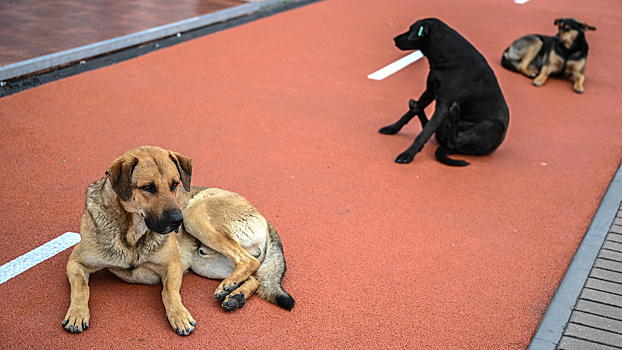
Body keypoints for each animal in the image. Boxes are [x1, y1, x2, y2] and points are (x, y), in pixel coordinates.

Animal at [63, 146, 294, 336]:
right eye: (148, 187)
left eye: (175, 184)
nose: (177, 221)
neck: (132, 234)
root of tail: (264, 217)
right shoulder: (75, 263)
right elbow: (81, 288)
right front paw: (76, 313)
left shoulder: (172, 266)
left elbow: (169, 292)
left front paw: (179, 315)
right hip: (205, 262)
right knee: (254, 275)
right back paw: (236, 294)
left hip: (194, 213)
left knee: (249, 261)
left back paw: (231, 286)